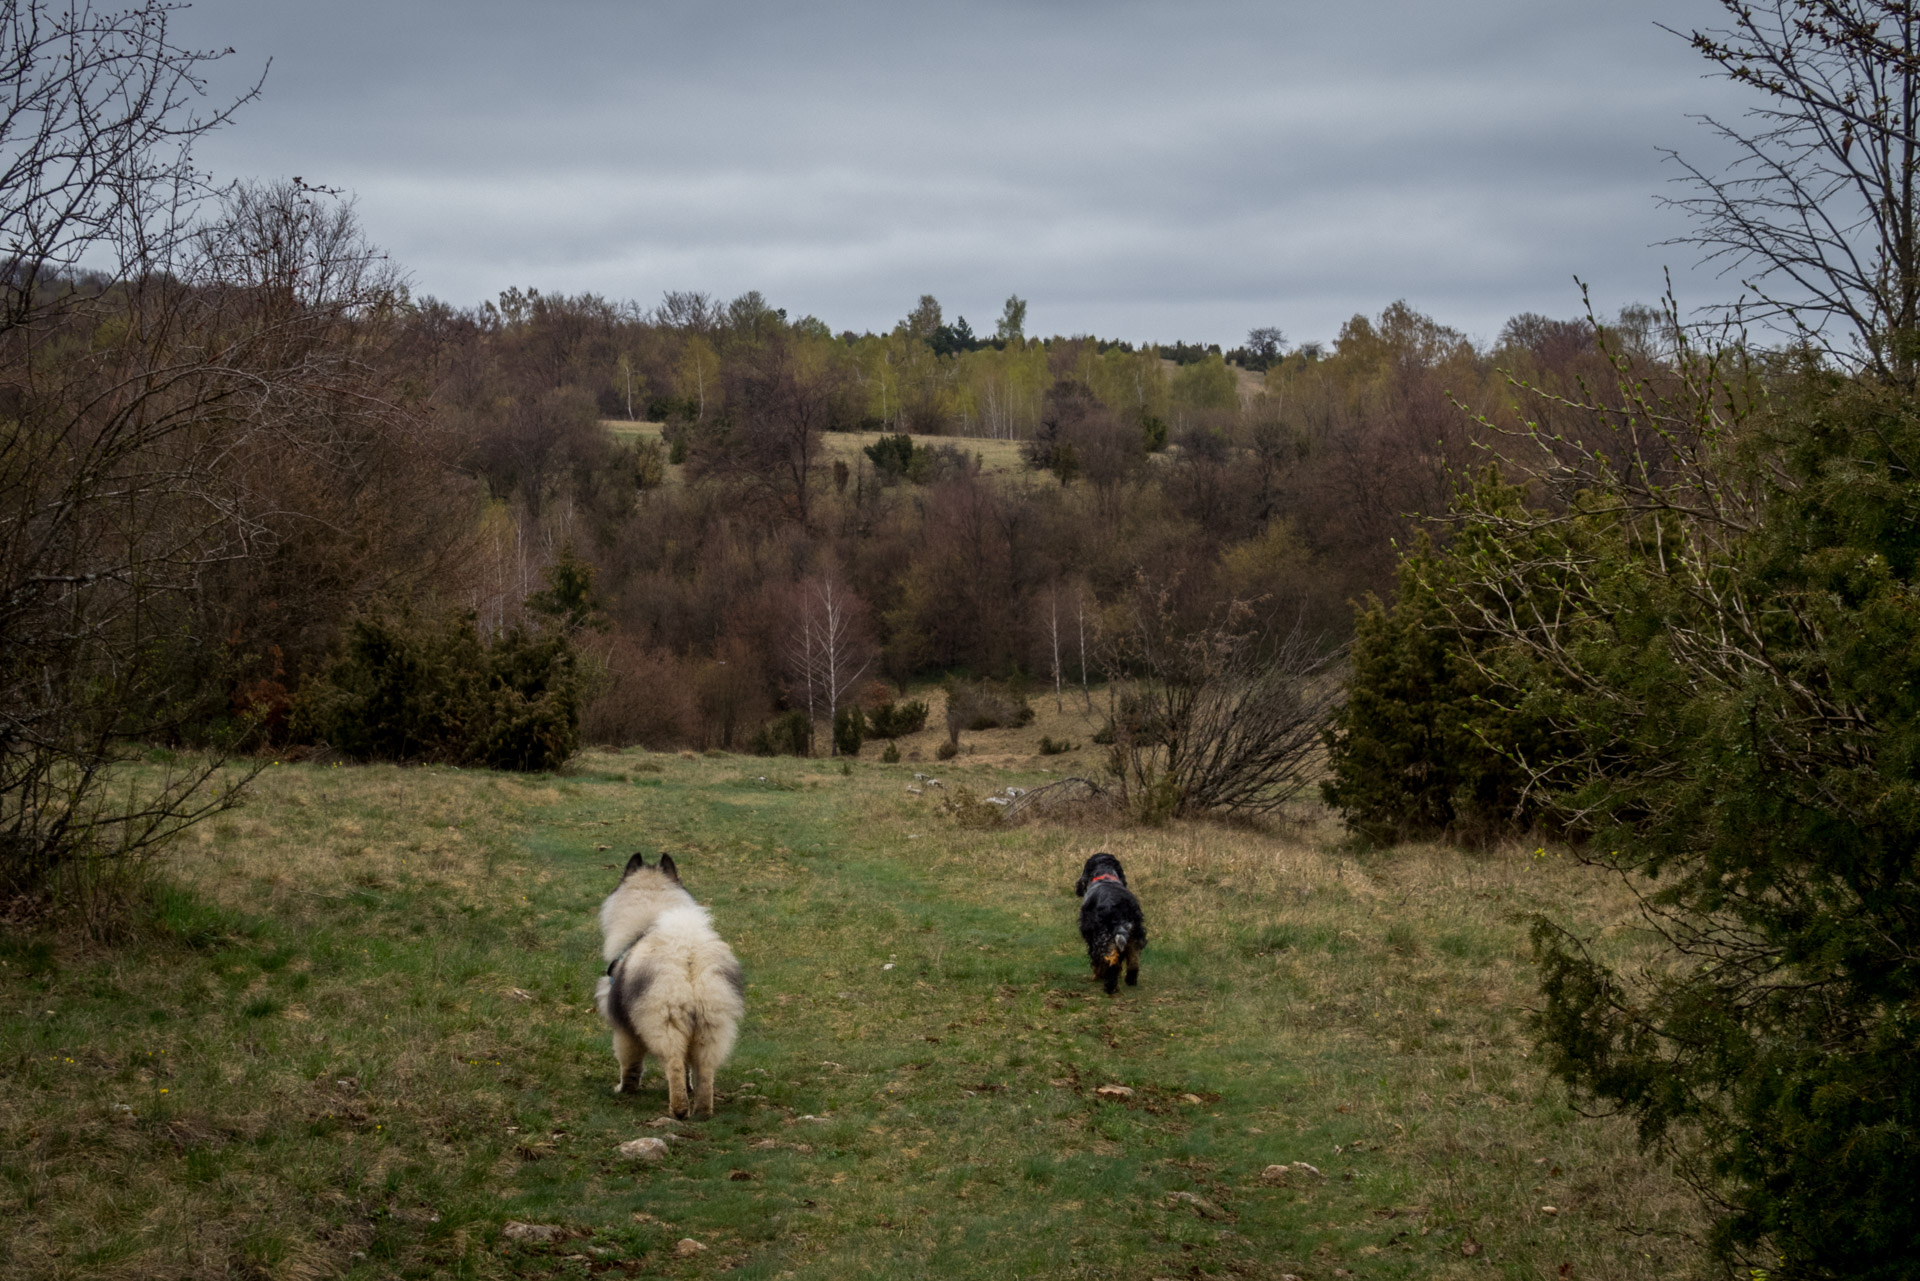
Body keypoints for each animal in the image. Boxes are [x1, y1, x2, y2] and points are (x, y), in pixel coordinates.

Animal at [595, 856, 744, 1113]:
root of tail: (687, 956)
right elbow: (687, 1069)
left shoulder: (625, 1028)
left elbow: (629, 1063)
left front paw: (624, 1089)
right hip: (711, 1024)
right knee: (704, 1070)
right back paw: (702, 1110)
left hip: (664, 1021)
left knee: (673, 1063)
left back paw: (679, 1109)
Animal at [1075, 856, 1144, 998]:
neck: (1106, 875)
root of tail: (1121, 908)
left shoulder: (1091, 934)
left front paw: (1096, 975)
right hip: (1135, 935)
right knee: (1134, 960)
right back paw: (1130, 981)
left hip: (1104, 938)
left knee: (1112, 962)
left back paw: (1109, 987)